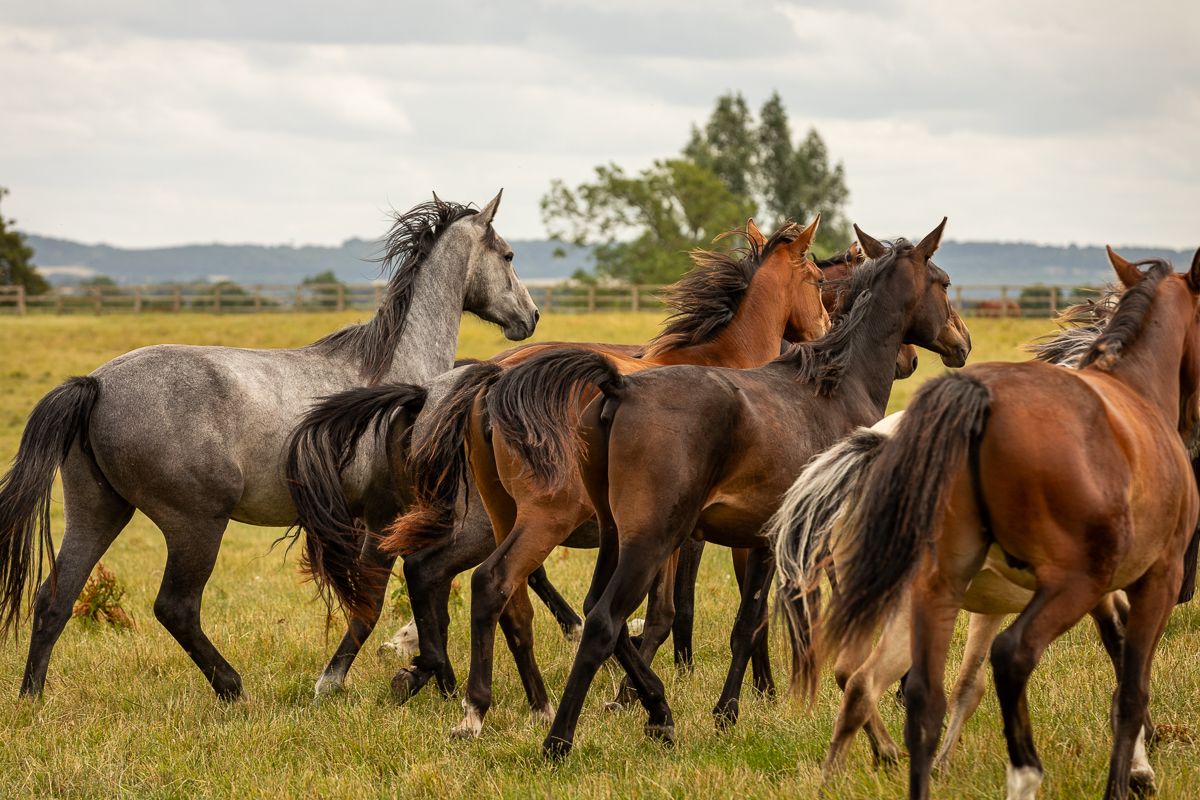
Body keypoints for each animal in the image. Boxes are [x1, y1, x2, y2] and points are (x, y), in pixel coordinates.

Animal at [0, 191, 538, 699]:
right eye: (509, 255)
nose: (531, 316)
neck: (403, 384)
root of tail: (96, 384)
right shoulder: (385, 516)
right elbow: (376, 602)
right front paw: (342, 682)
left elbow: (422, 598)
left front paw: (427, 677)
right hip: (196, 524)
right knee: (176, 608)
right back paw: (233, 688)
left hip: (98, 511)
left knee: (55, 598)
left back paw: (33, 697)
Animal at [481, 220, 970, 758]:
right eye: (945, 283)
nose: (960, 343)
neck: (837, 388)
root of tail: (618, 388)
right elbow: (759, 618)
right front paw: (734, 709)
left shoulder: (761, 539)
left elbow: (746, 620)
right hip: (634, 538)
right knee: (598, 619)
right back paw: (558, 737)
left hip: (610, 535)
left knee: (583, 610)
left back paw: (656, 711)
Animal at [807, 247, 1200, 799]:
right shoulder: (1116, 583)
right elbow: (1122, 661)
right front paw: (1140, 769)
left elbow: (969, 684)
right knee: (869, 679)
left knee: (858, 677)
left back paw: (854, 767)